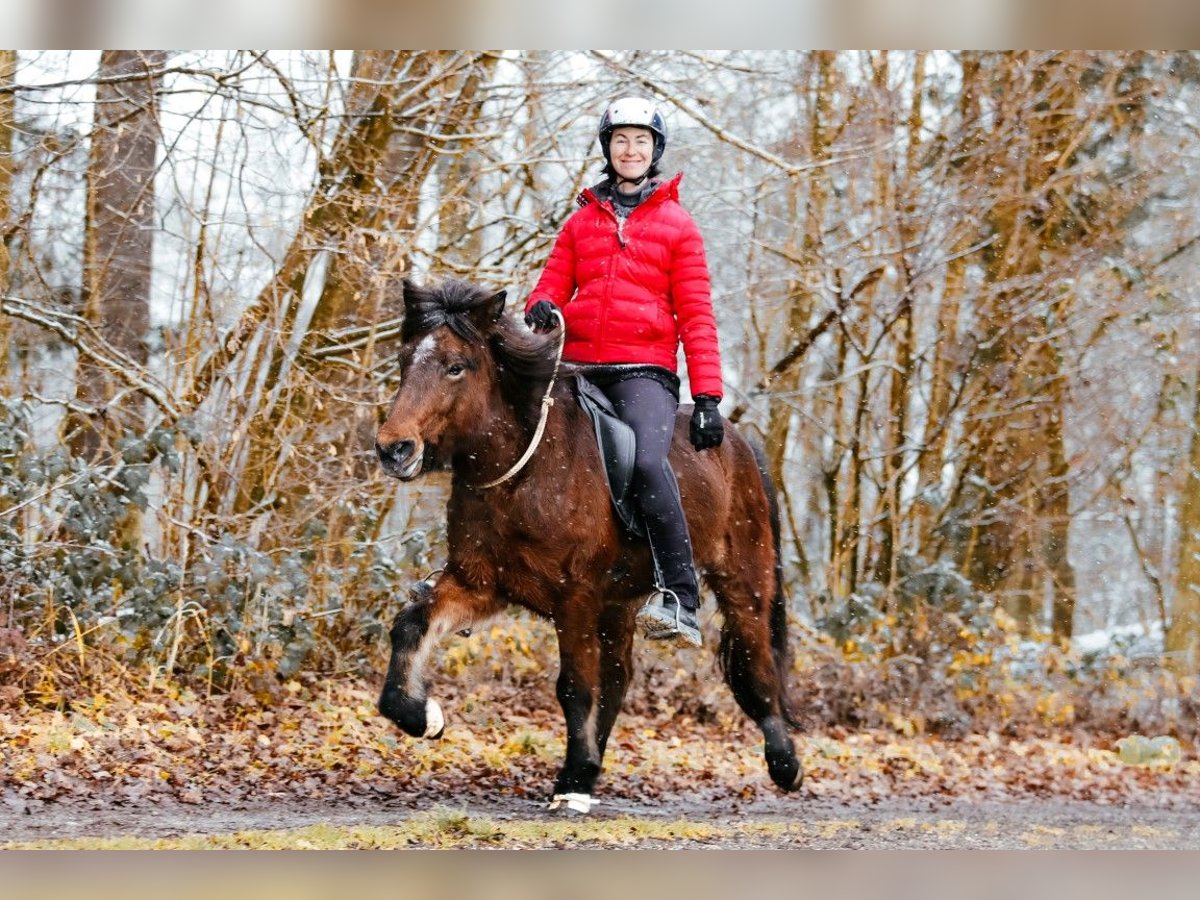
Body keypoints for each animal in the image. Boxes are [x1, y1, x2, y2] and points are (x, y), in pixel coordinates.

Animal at [374, 277, 803, 812]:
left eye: (456, 366)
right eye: (404, 358)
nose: (393, 449)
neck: (523, 472)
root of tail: (739, 444)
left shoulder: (574, 596)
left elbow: (575, 687)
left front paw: (575, 777)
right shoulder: (481, 584)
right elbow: (410, 626)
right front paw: (422, 716)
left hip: (742, 580)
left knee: (757, 664)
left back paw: (785, 765)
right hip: (620, 603)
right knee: (619, 680)